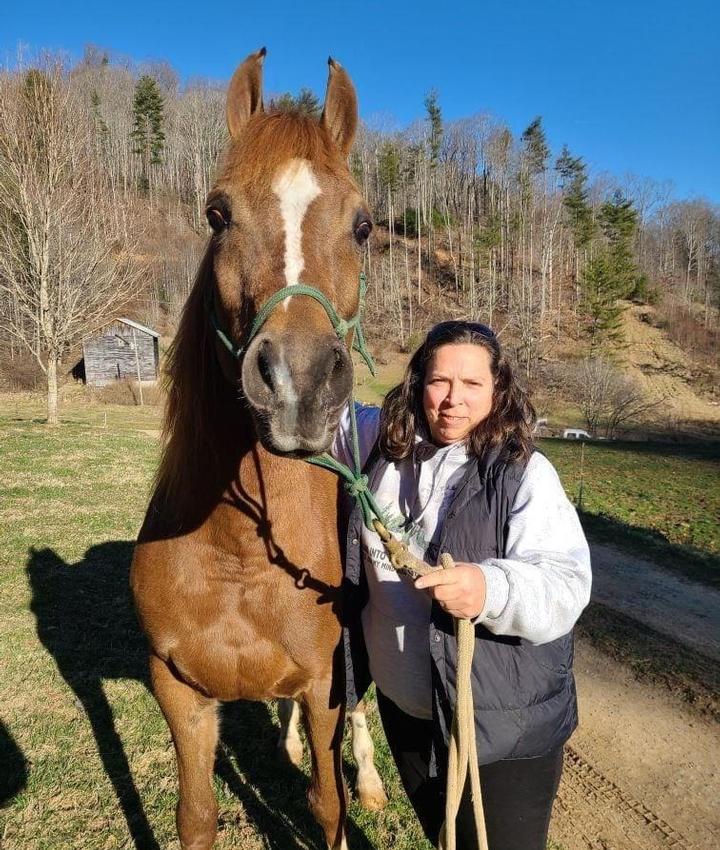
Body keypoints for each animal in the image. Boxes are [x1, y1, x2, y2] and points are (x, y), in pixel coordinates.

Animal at [131, 48, 386, 848]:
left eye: (364, 226)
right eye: (217, 214)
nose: (299, 382)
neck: (240, 553)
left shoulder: (324, 681)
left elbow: (329, 805)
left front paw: (351, 790)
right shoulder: (179, 692)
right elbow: (196, 817)